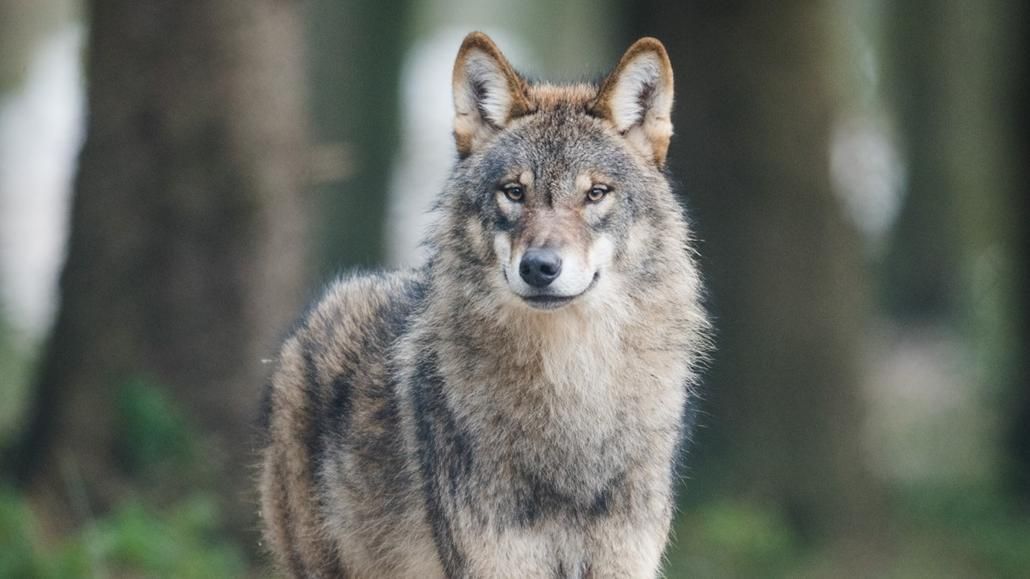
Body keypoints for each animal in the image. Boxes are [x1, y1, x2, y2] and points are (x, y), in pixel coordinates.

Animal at [258, 32, 709, 578]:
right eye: (513, 192)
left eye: (596, 193)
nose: (539, 266)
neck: (572, 396)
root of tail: (304, 326)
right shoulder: (494, 562)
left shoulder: (626, 561)